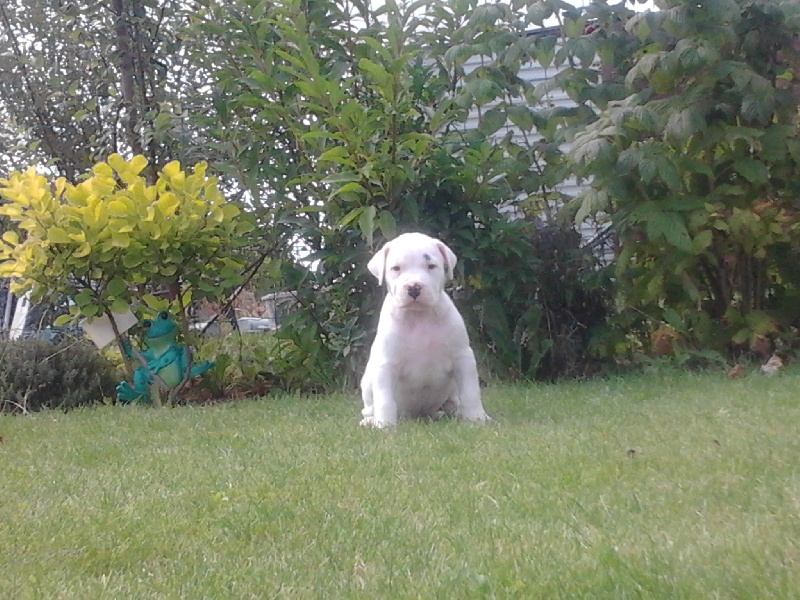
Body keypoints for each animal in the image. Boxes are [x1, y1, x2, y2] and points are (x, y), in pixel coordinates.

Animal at [360, 233, 488, 426]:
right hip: (367, 382)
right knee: (369, 407)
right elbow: (384, 399)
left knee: (454, 401)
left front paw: (477, 418)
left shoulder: (462, 358)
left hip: (452, 389)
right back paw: (370, 421)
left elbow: (471, 392)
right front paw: (384, 425)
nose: (414, 287)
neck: (419, 316)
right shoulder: (386, 365)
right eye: (396, 268)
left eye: (431, 266)